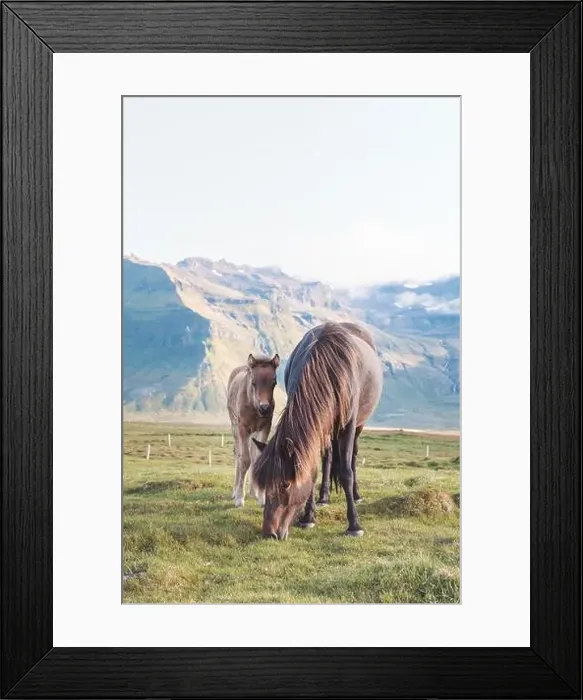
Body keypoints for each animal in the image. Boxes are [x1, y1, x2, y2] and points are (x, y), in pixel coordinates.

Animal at [227, 353, 279, 508]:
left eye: (274, 382)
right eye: (254, 382)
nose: (265, 408)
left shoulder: (265, 427)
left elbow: (258, 457)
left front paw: (262, 498)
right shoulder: (243, 428)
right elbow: (244, 459)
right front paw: (239, 499)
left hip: (253, 432)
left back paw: (252, 491)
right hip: (235, 427)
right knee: (238, 453)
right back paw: (235, 491)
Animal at [252, 322, 383, 539]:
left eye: (285, 484)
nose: (269, 533)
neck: (327, 368)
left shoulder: (348, 425)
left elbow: (346, 471)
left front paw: (354, 525)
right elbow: (312, 470)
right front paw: (308, 517)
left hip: (358, 425)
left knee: (353, 458)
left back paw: (356, 495)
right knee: (328, 457)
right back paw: (324, 497)